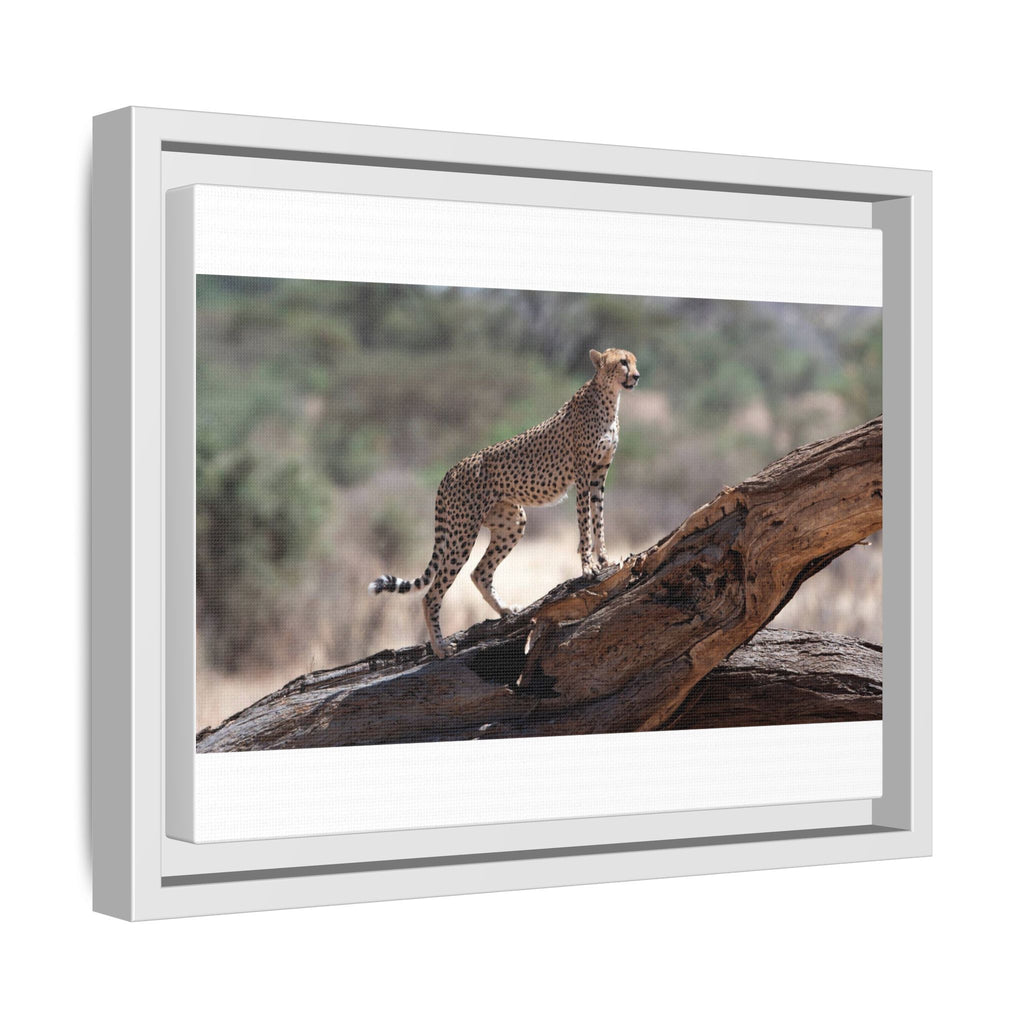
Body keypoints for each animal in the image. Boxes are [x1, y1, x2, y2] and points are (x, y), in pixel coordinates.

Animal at [369, 347, 640, 658]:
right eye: (622, 362)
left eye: (633, 361)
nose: (636, 376)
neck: (609, 397)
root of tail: (451, 470)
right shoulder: (583, 475)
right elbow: (585, 523)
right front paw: (588, 566)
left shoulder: (598, 475)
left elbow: (599, 519)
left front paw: (605, 558)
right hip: (462, 533)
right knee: (432, 593)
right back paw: (440, 647)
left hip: (511, 522)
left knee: (479, 573)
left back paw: (505, 611)